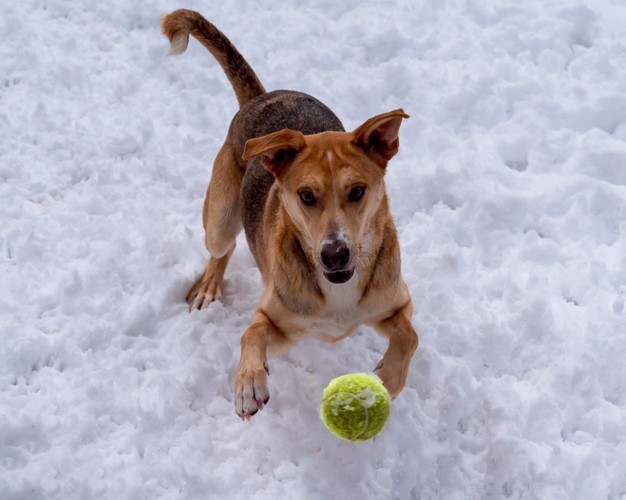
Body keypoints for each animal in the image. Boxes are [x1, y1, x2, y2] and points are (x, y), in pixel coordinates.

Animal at [161, 9, 416, 420]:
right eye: (306, 195)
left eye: (357, 191)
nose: (335, 254)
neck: (338, 291)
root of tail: (262, 96)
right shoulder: (279, 323)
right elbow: (251, 332)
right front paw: (248, 384)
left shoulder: (395, 302)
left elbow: (410, 336)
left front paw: (389, 380)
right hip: (219, 217)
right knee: (222, 247)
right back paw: (209, 285)